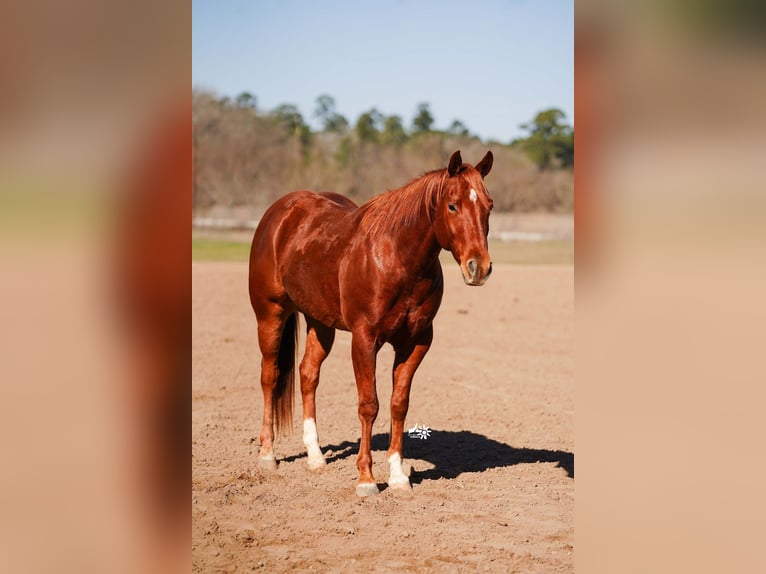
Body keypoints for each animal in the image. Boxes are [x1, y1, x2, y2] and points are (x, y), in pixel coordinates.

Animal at [248, 150, 494, 496]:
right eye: (452, 205)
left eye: (489, 205)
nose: (478, 267)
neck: (398, 259)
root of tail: (280, 212)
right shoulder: (364, 340)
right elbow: (369, 405)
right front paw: (366, 478)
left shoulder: (416, 342)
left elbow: (398, 404)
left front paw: (398, 475)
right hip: (270, 314)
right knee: (270, 377)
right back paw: (268, 454)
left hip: (320, 323)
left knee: (308, 375)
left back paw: (315, 456)